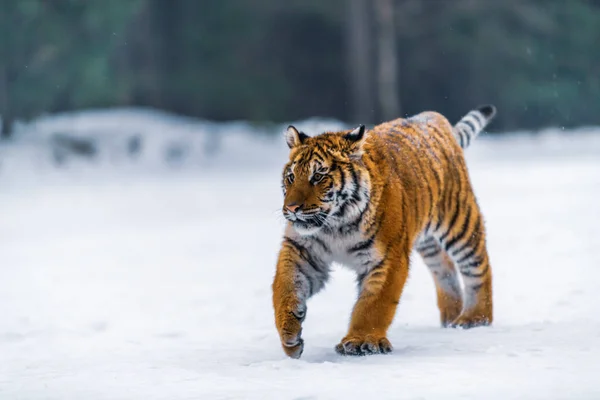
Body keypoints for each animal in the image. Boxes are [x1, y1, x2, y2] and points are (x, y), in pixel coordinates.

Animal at [272, 104, 496, 358]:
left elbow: (373, 305)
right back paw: (451, 316)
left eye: (318, 176)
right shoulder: (301, 251)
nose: (291, 208)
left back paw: (474, 318)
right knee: (445, 269)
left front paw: (361, 340)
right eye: (291, 177)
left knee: (479, 266)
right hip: (427, 241)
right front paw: (289, 335)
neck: (335, 225)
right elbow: (285, 287)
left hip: (459, 221)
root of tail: (435, 118)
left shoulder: (388, 257)